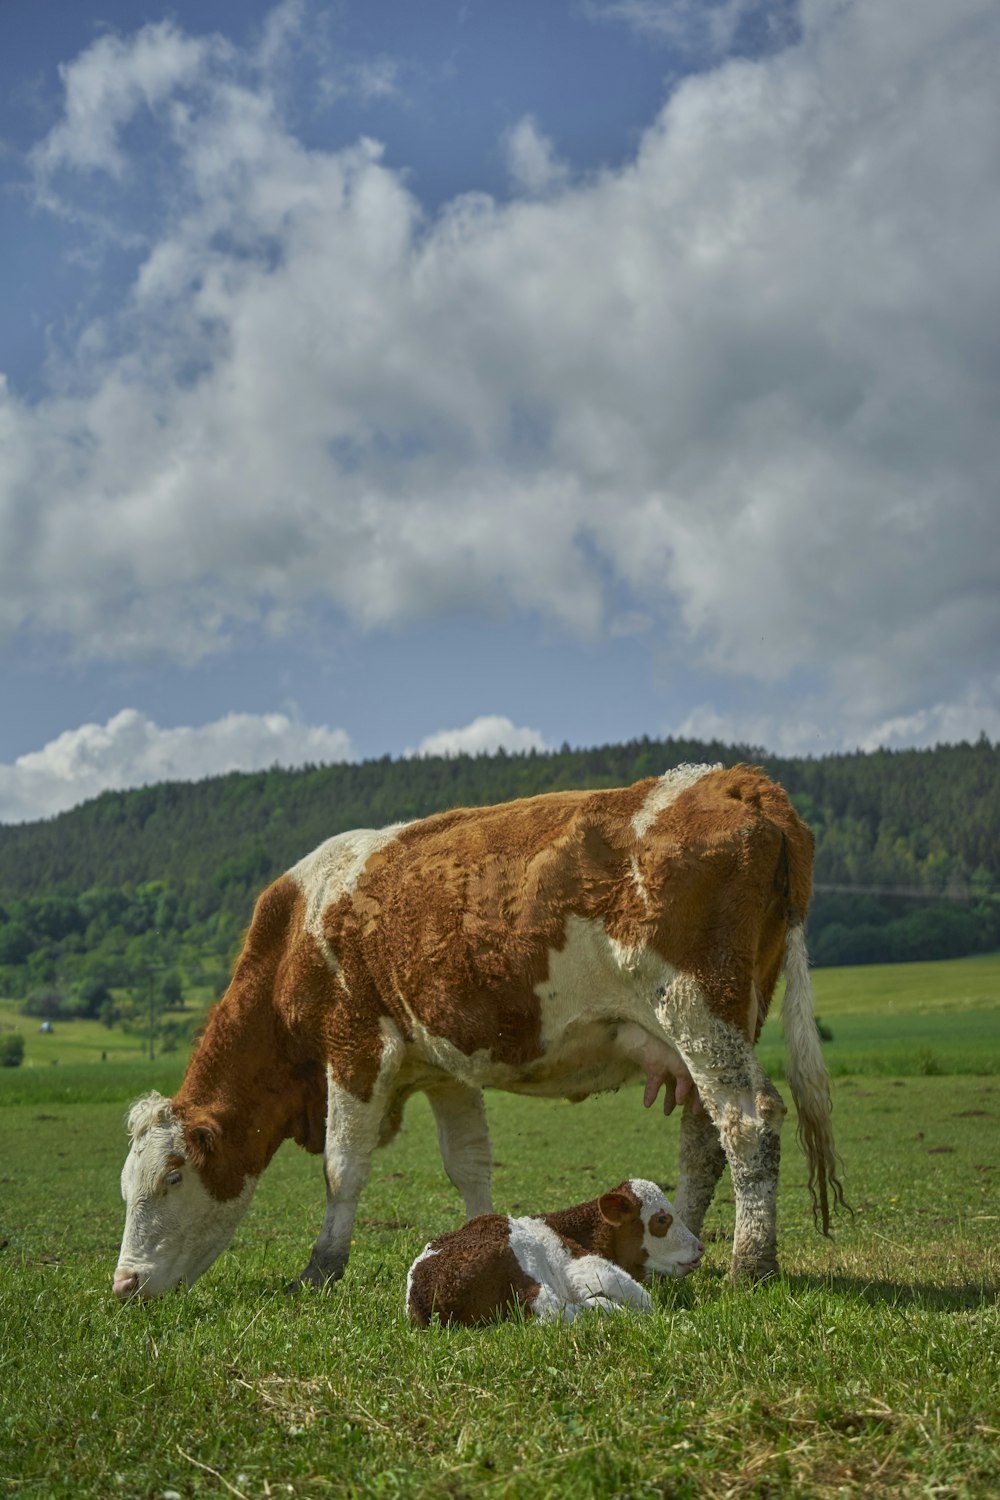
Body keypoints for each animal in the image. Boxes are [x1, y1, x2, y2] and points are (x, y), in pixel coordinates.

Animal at [111, 762, 845, 1302]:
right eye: (126, 1186)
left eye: (171, 1178)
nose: (123, 1285)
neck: (300, 932)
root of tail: (731, 778)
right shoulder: (442, 1066)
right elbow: (468, 1164)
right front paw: (483, 1241)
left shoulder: (354, 1045)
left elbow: (343, 1169)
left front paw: (319, 1270)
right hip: (715, 1025)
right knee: (704, 1139)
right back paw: (683, 1246)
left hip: (698, 1009)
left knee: (748, 1121)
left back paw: (750, 1265)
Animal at [407, 1176, 704, 1332]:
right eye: (662, 1219)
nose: (700, 1247)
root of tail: (425, 1295)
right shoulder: (583, 1264)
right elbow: (644, 1299)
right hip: (523, 1273)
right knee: (554, 1312)